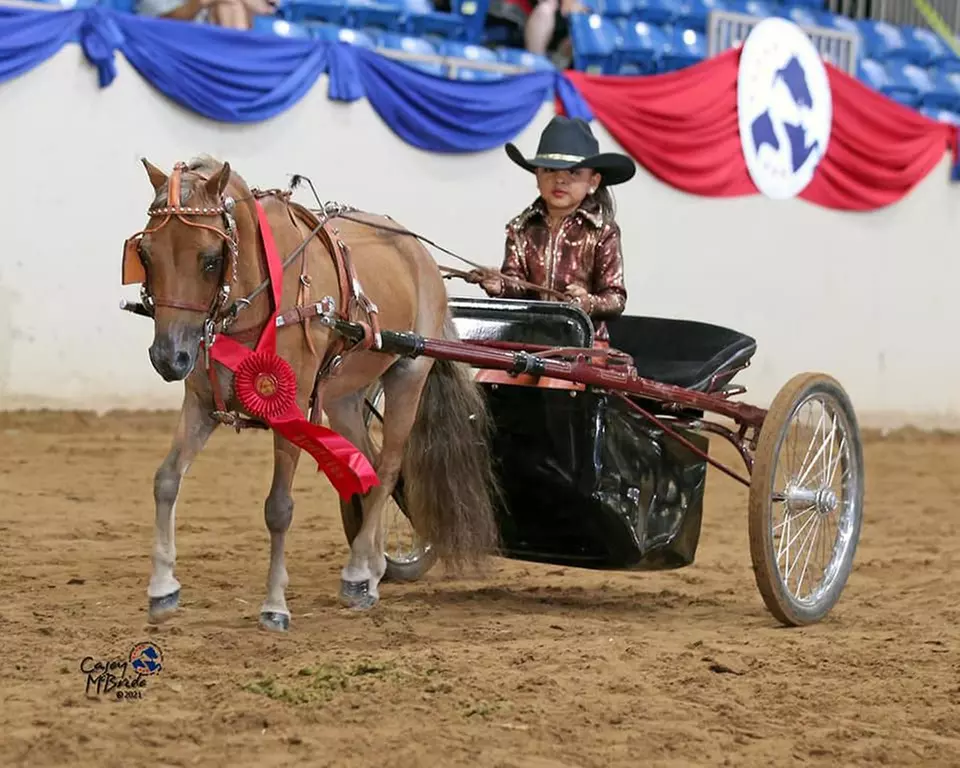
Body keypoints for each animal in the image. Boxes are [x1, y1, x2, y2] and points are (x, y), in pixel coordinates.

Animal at [123, 156, 501, 632]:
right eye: (146, 255)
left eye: (210, 259)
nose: (168, 357)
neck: (262, 299)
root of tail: (419, 254)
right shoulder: (202, 404)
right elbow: (167, 480)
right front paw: (162, 589)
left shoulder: (291, 408)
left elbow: (279, 507)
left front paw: (274, 606)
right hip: (343, 397)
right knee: (370, 466)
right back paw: (370, 569)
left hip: (407, 377)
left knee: (389, 468)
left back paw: (358, 572)